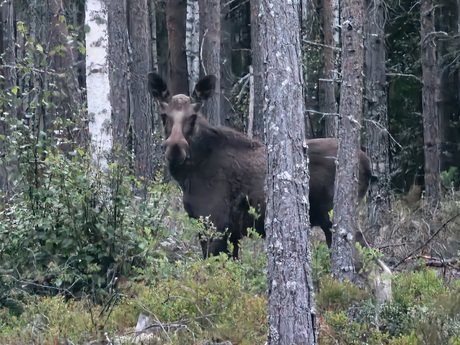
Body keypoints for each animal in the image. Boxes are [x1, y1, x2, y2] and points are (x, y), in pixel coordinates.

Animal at [149, 72, 376, 258]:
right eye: (163, 115)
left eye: (193, 117)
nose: (175, 148)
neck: (188, 175)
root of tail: (367, 164)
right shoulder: (228, 231)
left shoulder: (216, 224)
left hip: (334, 218)